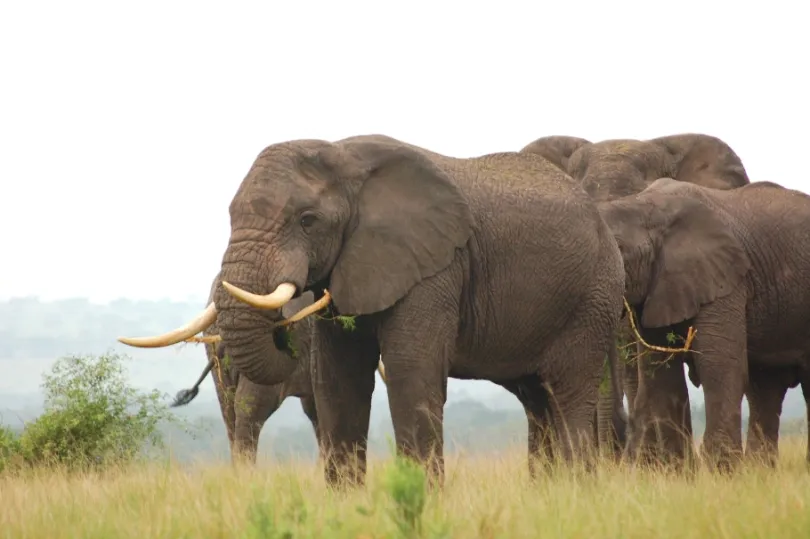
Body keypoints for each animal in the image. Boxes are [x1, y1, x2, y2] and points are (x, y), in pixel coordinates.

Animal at [118, 133, 624, 488]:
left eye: (307, 220)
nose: (282, 330)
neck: (345, 158)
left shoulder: (436, 266)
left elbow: (409, 370)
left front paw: (422, 501)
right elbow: (338, 378)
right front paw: (344, 504)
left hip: (592, 297)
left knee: (568, 392)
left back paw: (576, 494)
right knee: (536, 399)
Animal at [592, 179, 810, 470]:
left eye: (620, 251)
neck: (641, 205)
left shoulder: (726, 279)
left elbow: (718, 364)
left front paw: (721, 471)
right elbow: (661, 374)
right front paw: (678, 473)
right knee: (765, 387)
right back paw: (759, 471)